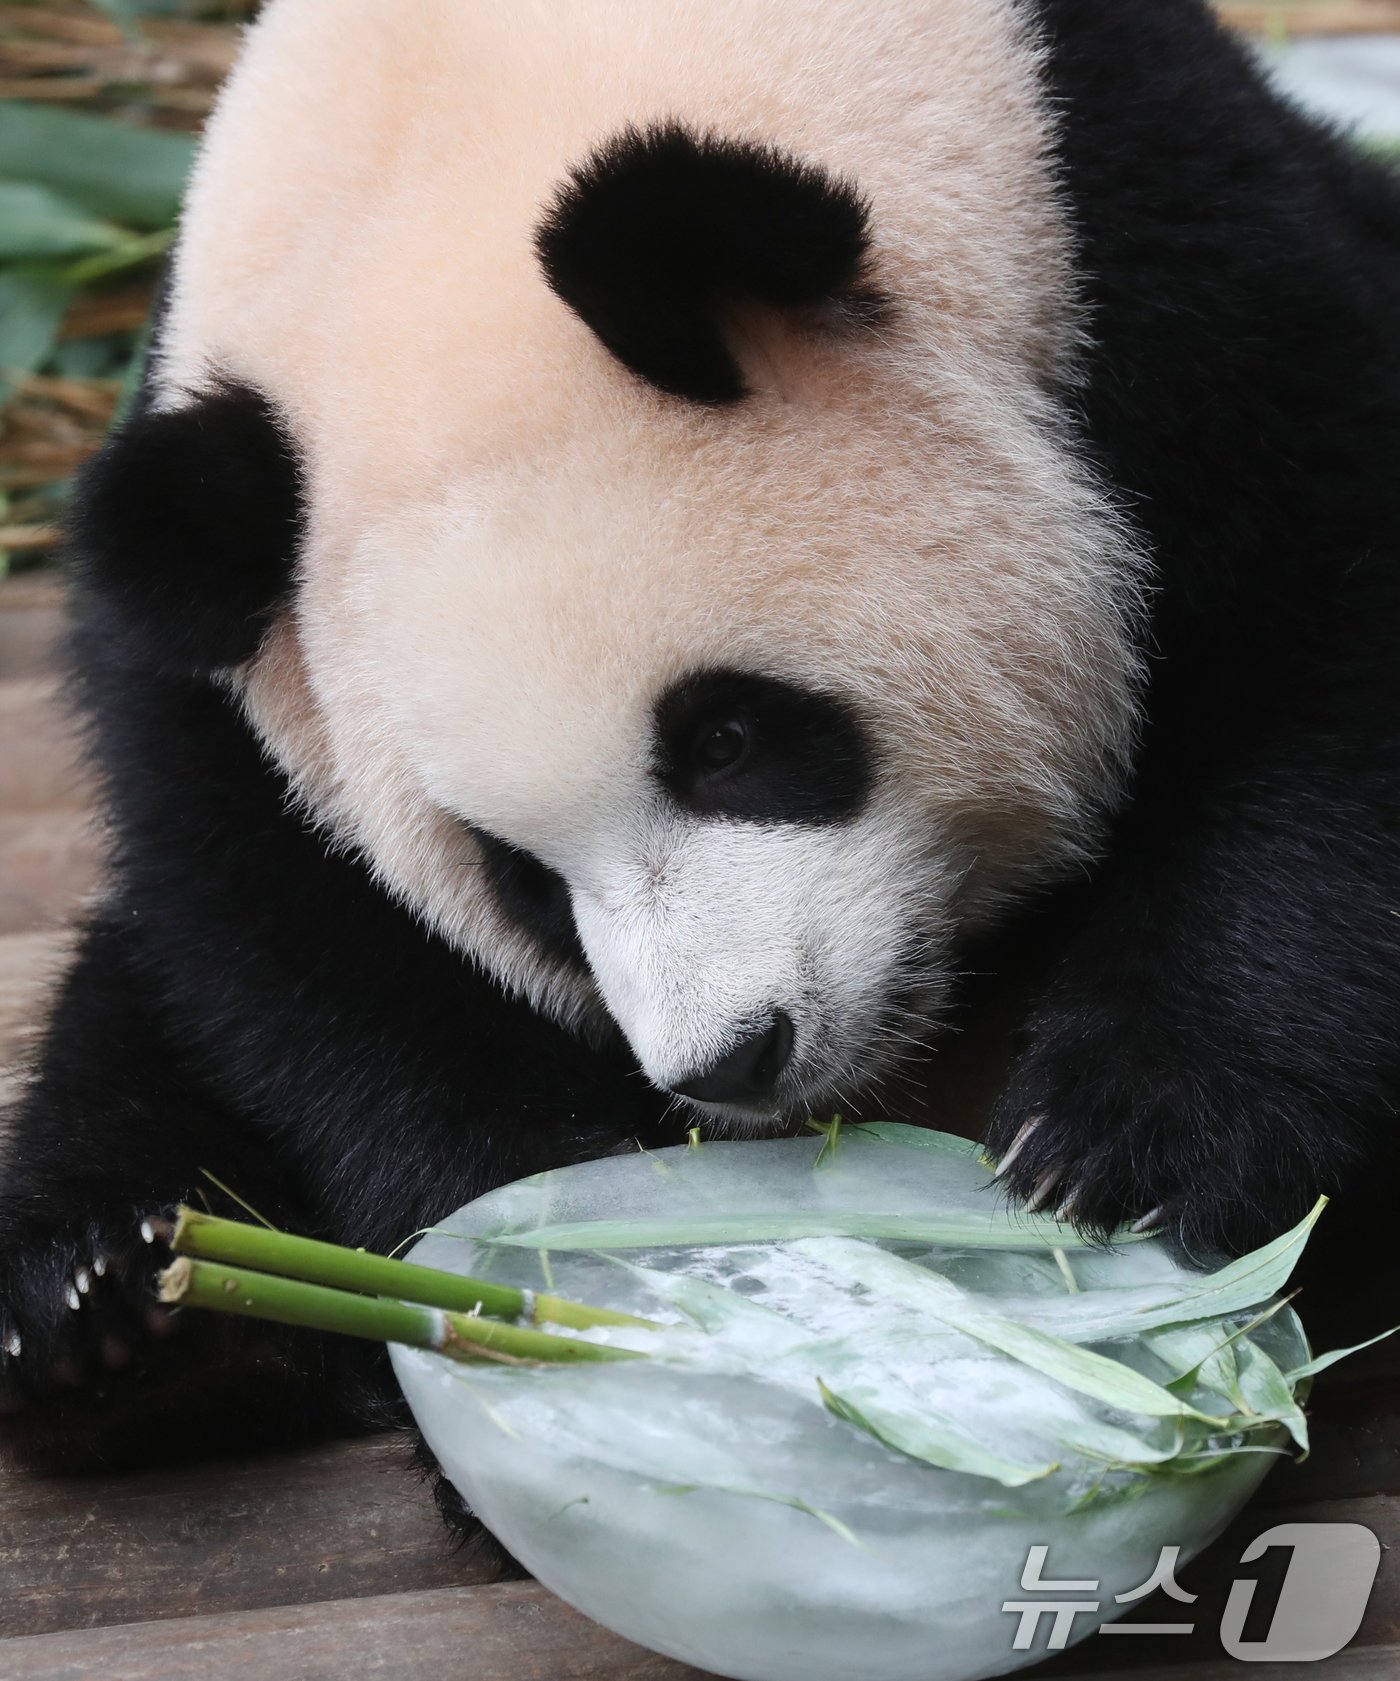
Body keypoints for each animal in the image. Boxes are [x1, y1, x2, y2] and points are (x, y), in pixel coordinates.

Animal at [2, 0, 1398, 1526]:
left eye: (725, 738)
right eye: (517, 877)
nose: (735, 1057)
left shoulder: (1143, 231)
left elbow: (1317, 653)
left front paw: (1132, 1145)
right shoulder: (218, 642)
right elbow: (289, 938)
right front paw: (539, 1265)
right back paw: (123, 1314)